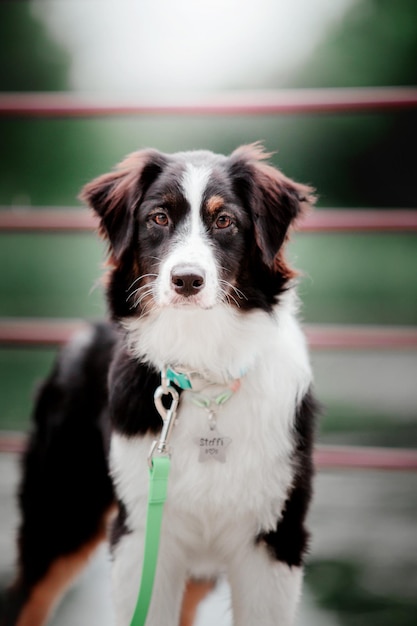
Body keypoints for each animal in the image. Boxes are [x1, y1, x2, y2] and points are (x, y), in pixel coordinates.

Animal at [3, 144, 316, 624]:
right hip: (61, 514)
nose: (186, 280)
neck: (203, 371)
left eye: (224, 221)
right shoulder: (141, 533)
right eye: (159, 217)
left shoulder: (275, 539)